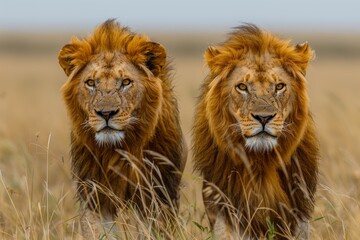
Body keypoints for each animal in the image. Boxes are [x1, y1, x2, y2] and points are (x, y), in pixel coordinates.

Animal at [57, 19, 187, 239]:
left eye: (126, 82)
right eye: (90, 83)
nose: (106, 113)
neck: (118, 150)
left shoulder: (157, 194)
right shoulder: (95, 194)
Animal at [193, 24, 320, 240]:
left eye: (279, 86)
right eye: (242, 87)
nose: (263, 117)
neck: (260, 163)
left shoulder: (298, 217)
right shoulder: (226, 215)